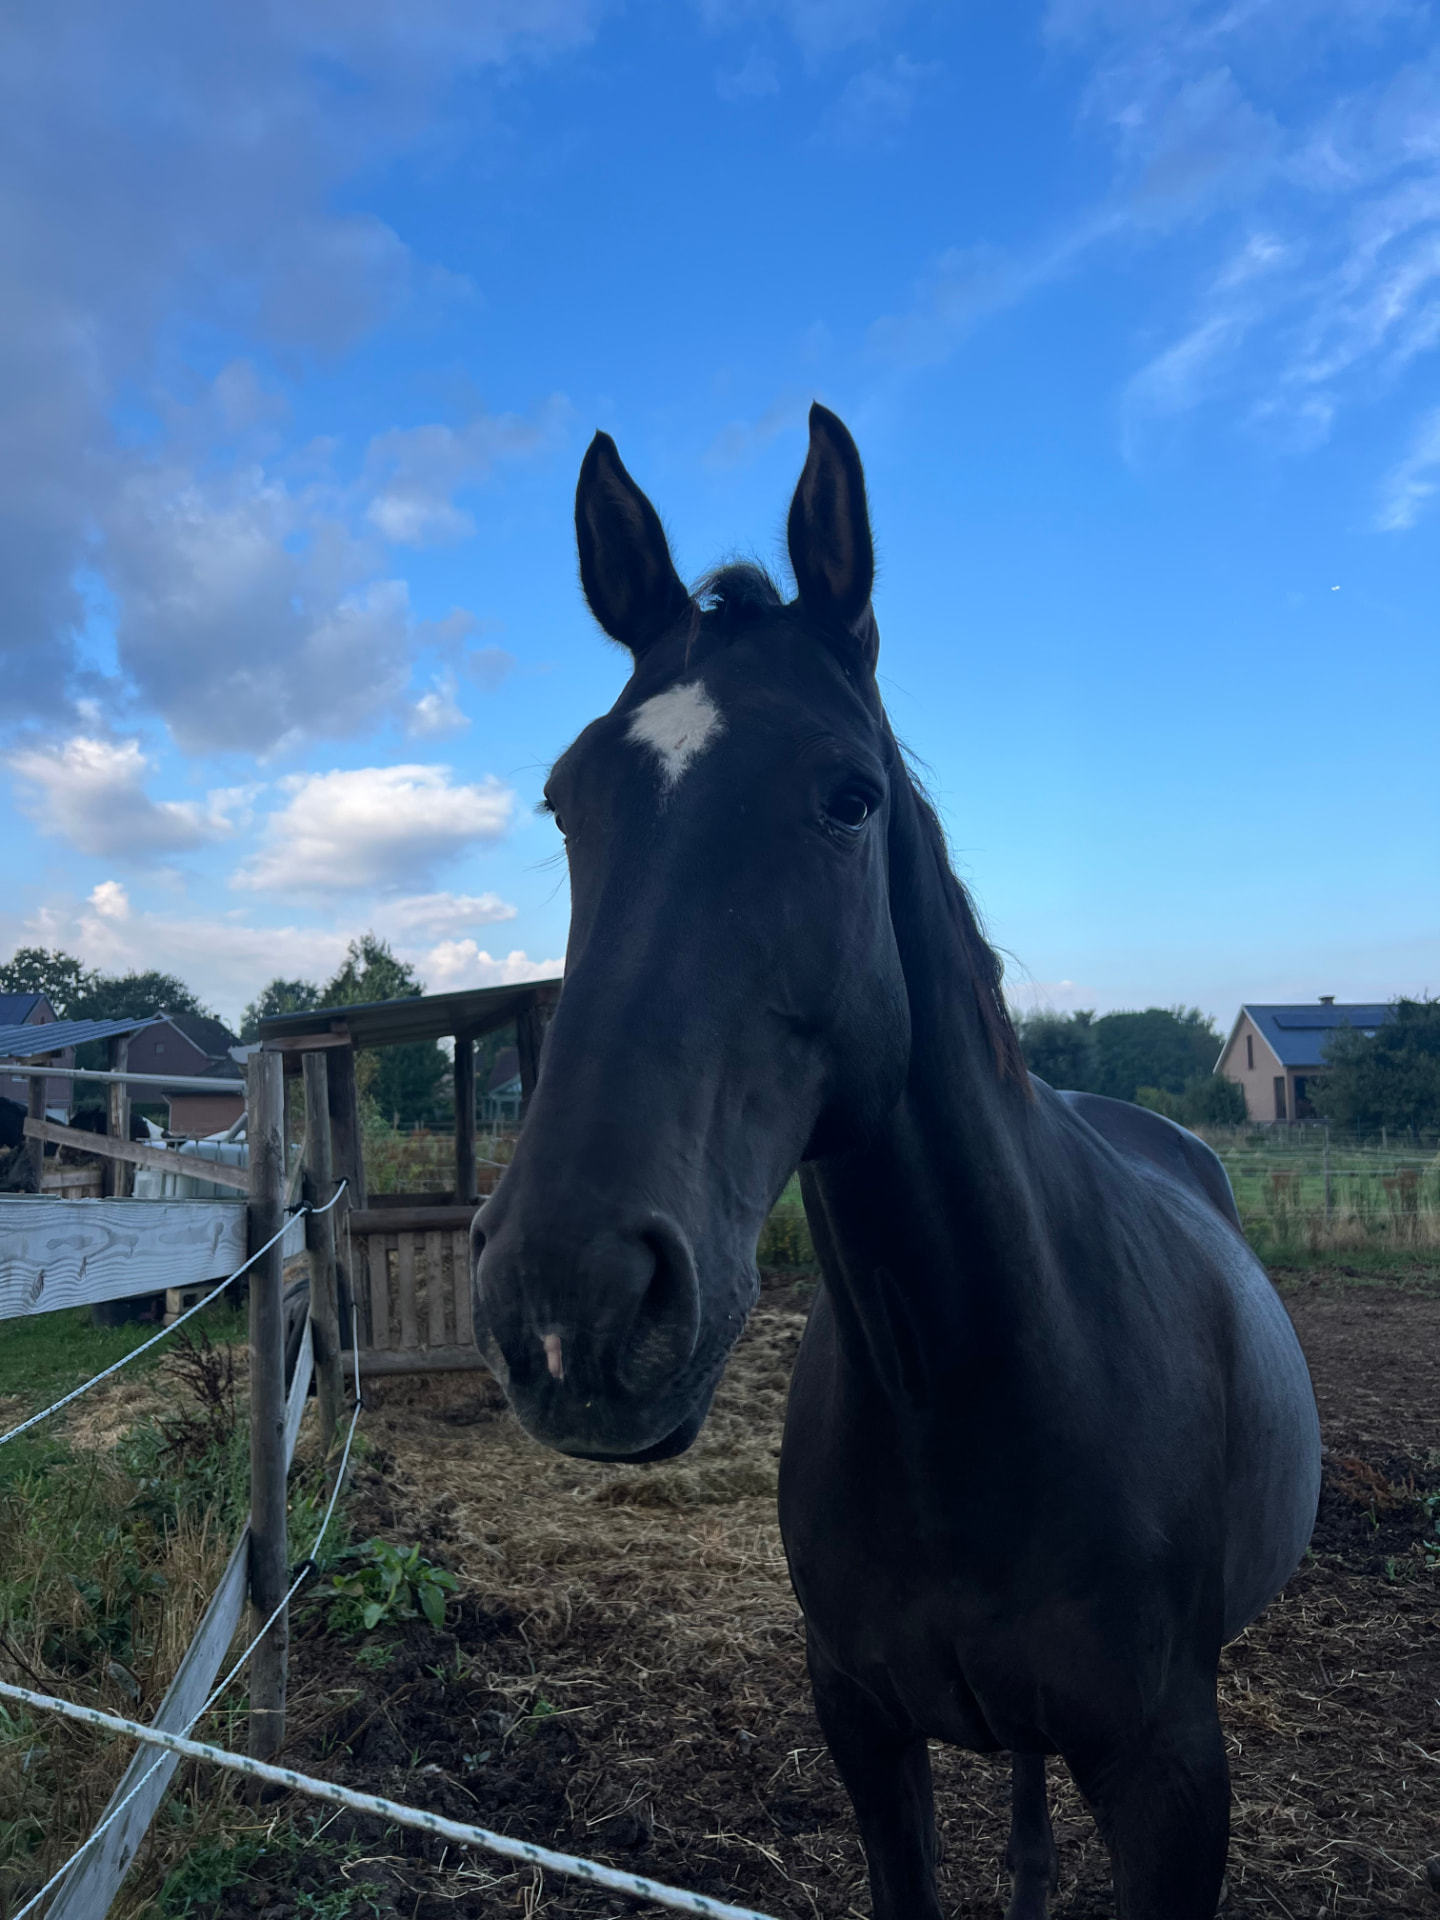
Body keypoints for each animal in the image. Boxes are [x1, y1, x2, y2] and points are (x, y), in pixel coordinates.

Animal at [472, 404, 1322, 1920]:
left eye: (850, 799)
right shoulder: (862, 1726)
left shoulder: (1174, 1780)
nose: (568, 1303)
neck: (982, 1384)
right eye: (570, 804)